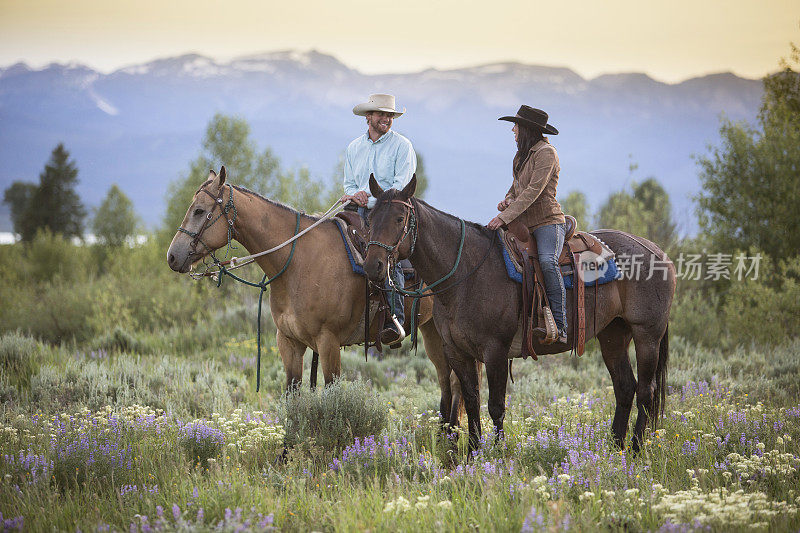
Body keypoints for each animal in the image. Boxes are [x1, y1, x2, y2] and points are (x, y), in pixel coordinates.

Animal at [167, 168, 468, 422]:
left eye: (199, 210)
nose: (172, 256)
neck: (297, 261)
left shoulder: (328, 342)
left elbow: (333, 394)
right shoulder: (289, 342)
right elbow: (292, 396)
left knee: (455, 383)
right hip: (431, 331)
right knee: (447, 382)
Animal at [364, 177, 676, 450]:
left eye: (399, 219)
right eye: (370, 219)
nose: (372, 266)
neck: (467, 271)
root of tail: (658, 252)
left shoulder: (495, 351)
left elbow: (496, 406)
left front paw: (499, 454)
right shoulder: (457, 351)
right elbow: (472, 401)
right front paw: (472, 454)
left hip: (647, 335)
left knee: (646, 391)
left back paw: (635, 449)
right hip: (613, 334)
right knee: (625, 387)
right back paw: (614, 448)